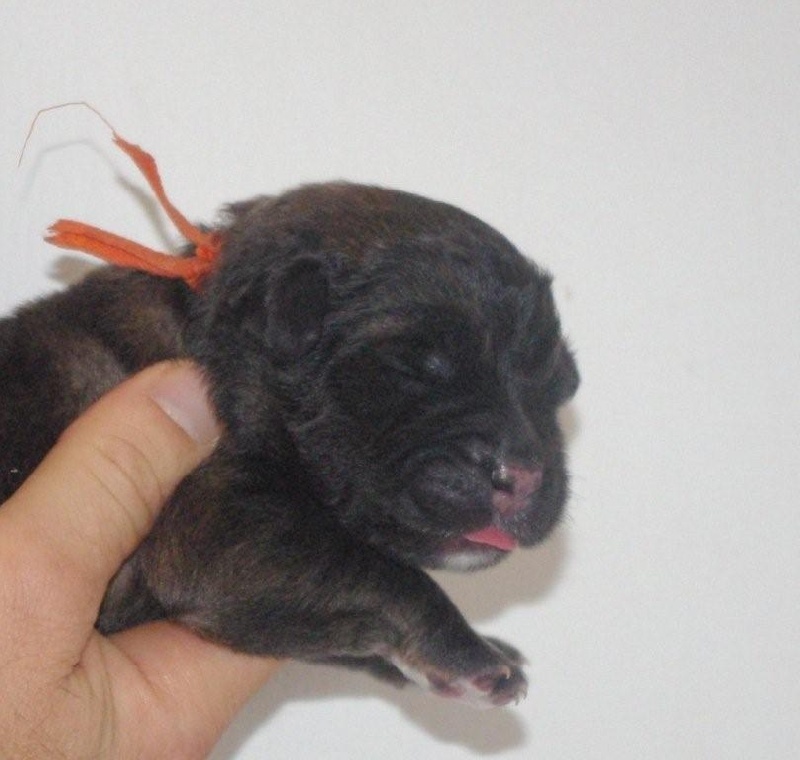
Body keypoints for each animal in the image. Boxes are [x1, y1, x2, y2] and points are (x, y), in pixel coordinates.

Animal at [0, 182, 579, 707]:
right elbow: (380, 570)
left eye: (559, 387)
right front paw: (468, 654)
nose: (523, 475)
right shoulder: (220, 528)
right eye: (412, 368)